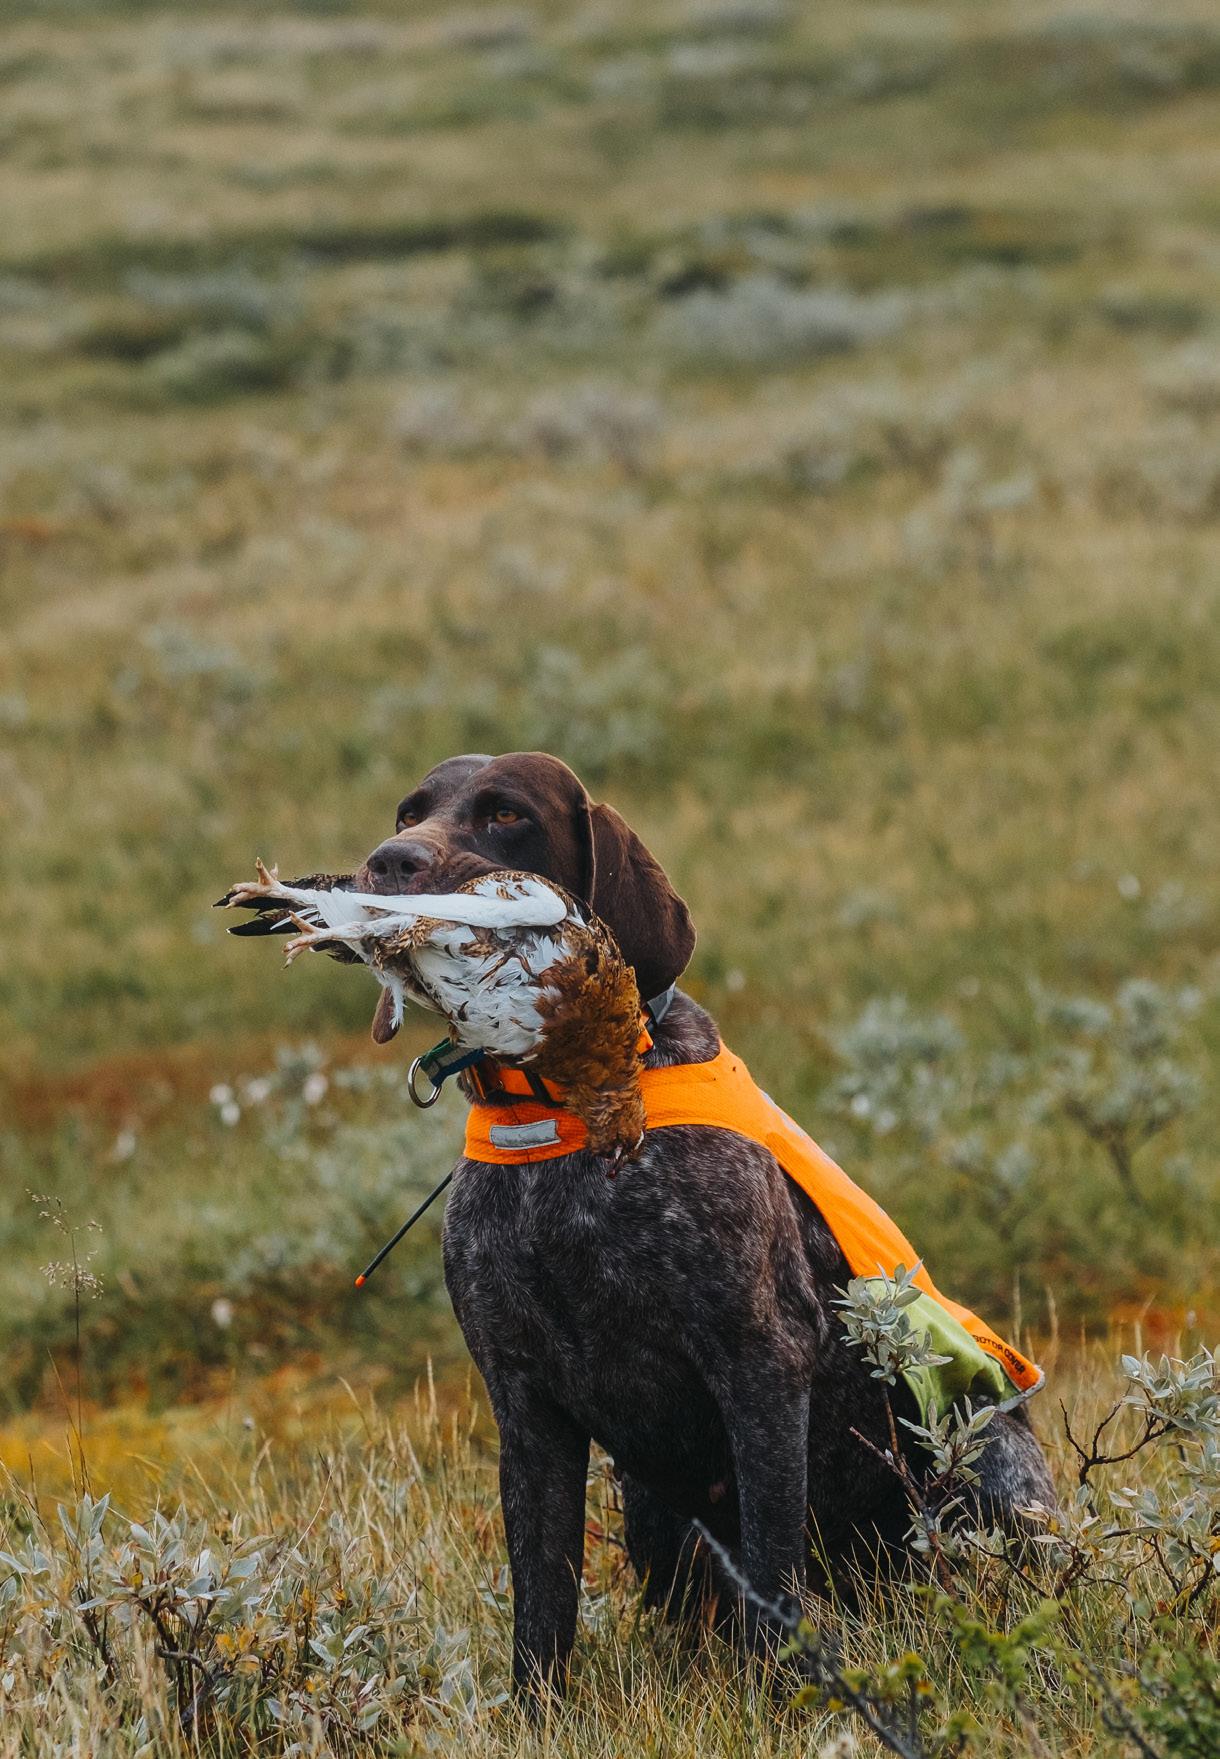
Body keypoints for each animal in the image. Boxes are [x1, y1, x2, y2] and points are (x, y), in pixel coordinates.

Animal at [357, 751, 1054, 1695]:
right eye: (411, 810)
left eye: (506, 814)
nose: (389, 862)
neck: (562, 1121)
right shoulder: (525, 1403)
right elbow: (542, 1597)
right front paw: (539, 1710)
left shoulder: (760, 1361)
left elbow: (772, 1566)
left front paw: (784, 1696)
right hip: (651, 1510)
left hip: (984, 1464)